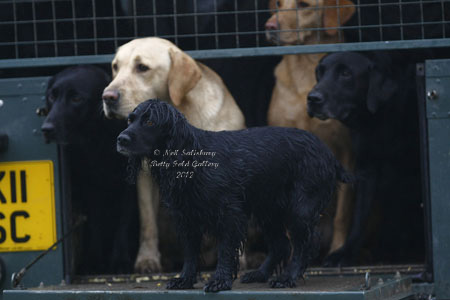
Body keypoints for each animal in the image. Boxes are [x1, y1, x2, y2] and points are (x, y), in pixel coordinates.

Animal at [41, 65, 138, 274]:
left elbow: (123, 221)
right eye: (52, 96)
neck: (98, 139)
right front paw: (93, 261)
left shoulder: (129, 186)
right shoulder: (91, 186)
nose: (46, 129)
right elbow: (94, 222)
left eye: (77, 98)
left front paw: (120, 261)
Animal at [115, 99, 352, 292]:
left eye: (150, 122)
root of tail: (329, 155)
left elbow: (225, 250)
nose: (121, 139)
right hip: (268, 210)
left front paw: (220, 281)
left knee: (303, 244)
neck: (192, 157)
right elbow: (190, 252)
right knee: (281, 245)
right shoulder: (187, 217)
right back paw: (260, 274)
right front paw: (185, 279)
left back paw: (287, 278)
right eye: (130, 120)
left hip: (300, 209)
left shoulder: (229, 214)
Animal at [308, 52, 424, 266]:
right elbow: (360, 216)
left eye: (346, 73)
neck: (380, 118)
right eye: (320, 72)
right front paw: (346, 252)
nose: (312, 98)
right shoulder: (366, 169)